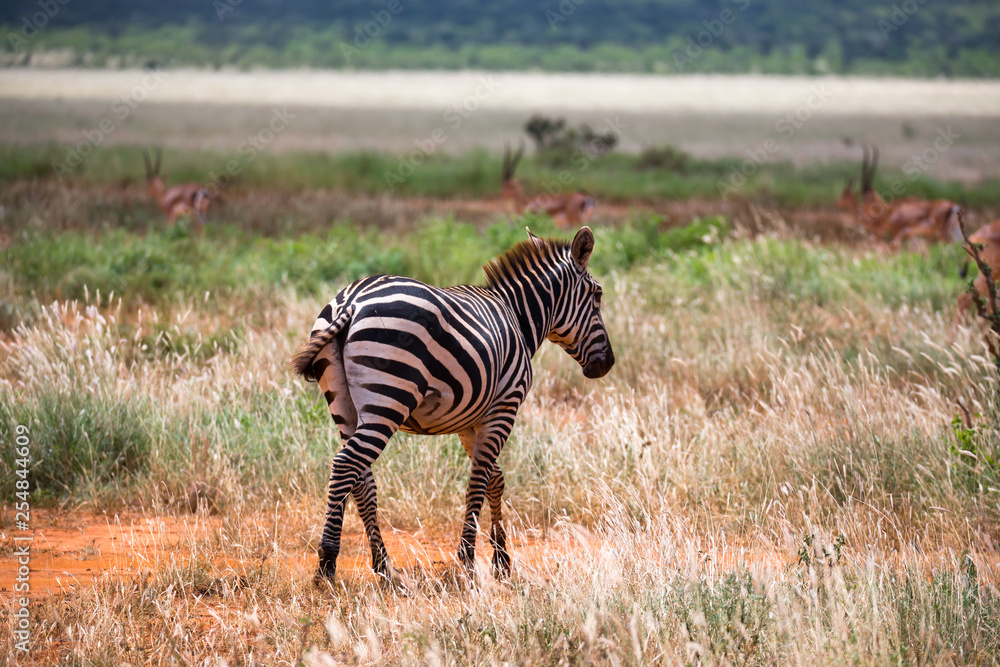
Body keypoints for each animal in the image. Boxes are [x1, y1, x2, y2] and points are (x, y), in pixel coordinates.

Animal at [291, 226, 614, 582]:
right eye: (597, 296)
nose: (607, 365)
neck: (518, 319)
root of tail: (352, 300)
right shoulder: (505, 406)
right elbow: (479, 479)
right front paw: (470, 557)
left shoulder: (470, 421)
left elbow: (494, 479)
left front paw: (501, 558)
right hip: (388, 399)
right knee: (345, 465)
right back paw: (327, 564)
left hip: (344, 406)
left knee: (361, 478)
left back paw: (384, 566)